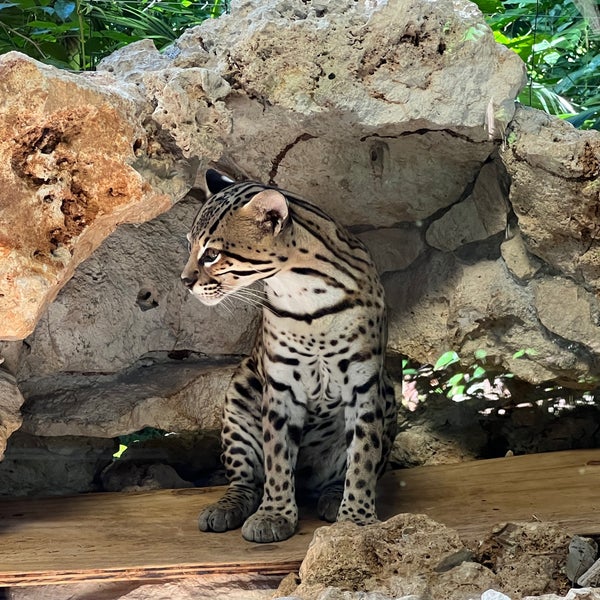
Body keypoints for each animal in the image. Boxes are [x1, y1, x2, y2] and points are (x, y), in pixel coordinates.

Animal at [183, 170, 398, 544]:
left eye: (211, 254)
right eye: (189, 246)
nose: (184, 280)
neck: (303, 292)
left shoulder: (364, 380)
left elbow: (363, 454)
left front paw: (356, 521)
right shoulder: (282, 383)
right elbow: (277, 455)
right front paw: (274, 514)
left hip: (389, 389)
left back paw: (333, 498)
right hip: (240, 392)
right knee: (245, 478)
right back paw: (227, 506)